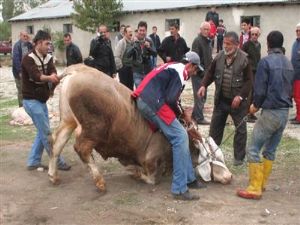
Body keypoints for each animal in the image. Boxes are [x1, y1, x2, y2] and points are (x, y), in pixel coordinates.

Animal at [49, 63, 231, 192]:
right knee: (81, 148)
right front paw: (135, 173)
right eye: (217, 157)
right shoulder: (151, 159)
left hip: (68, 121)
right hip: (93, 129)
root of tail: (77, 69)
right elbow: (151, 178)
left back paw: (53, 176)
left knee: (57, 143)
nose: (230, 177)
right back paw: (99, 181)